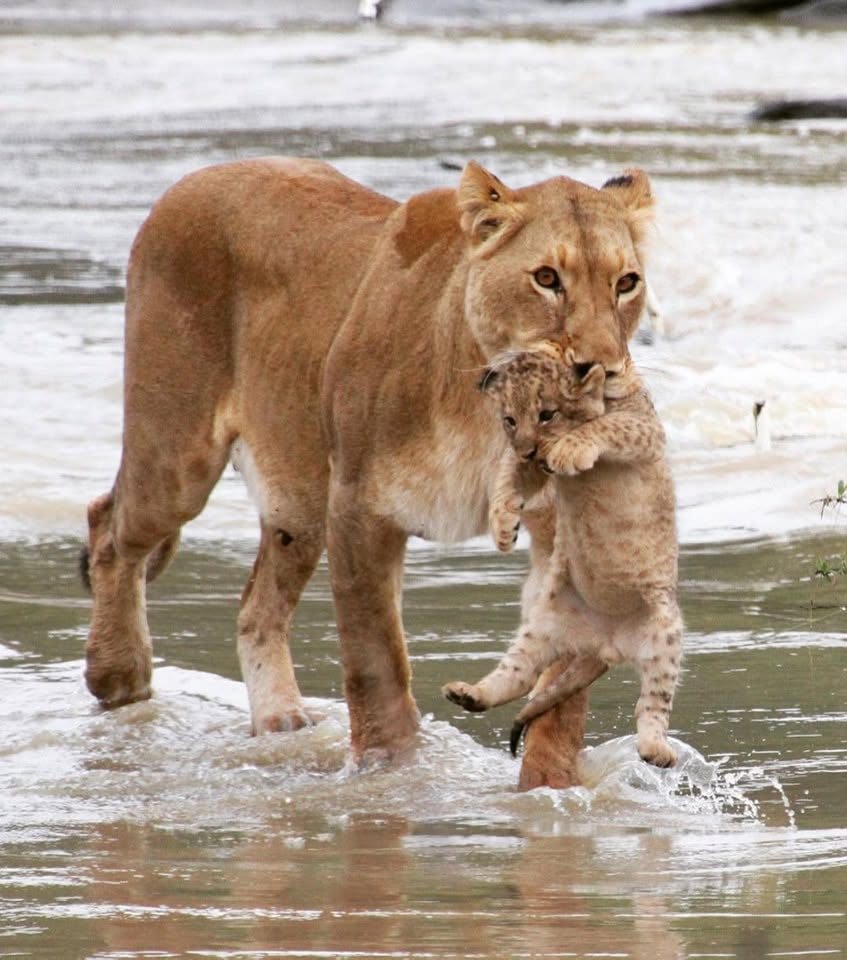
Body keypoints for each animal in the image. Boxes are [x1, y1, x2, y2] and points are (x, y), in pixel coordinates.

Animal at [80, 156, 655, 786]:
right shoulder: (360, 506)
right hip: (179, 457)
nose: (603, 370)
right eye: (547, 278)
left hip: (299, 501)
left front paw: (551, 788)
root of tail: (198, 174)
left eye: (626, 283)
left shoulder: (557, 532)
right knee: (109, 526)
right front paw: (389, 773)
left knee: (256, 605)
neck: (485, 409)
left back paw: (279, 719)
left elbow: (562, 695)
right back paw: (118, 676)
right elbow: (376, 662)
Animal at [444, 348, 682, 768]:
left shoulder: (644, 431)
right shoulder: (529, 468)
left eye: (546, 414)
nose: (528, 449)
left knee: (652, 704)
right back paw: (470, 694)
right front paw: (502, 526)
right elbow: (507, 477)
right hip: (542, 627)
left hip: (663, 631)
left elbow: (606, 428)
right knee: (518, 676)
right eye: (509, 420)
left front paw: (570, 448)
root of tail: (606, 644)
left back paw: (656, 749)